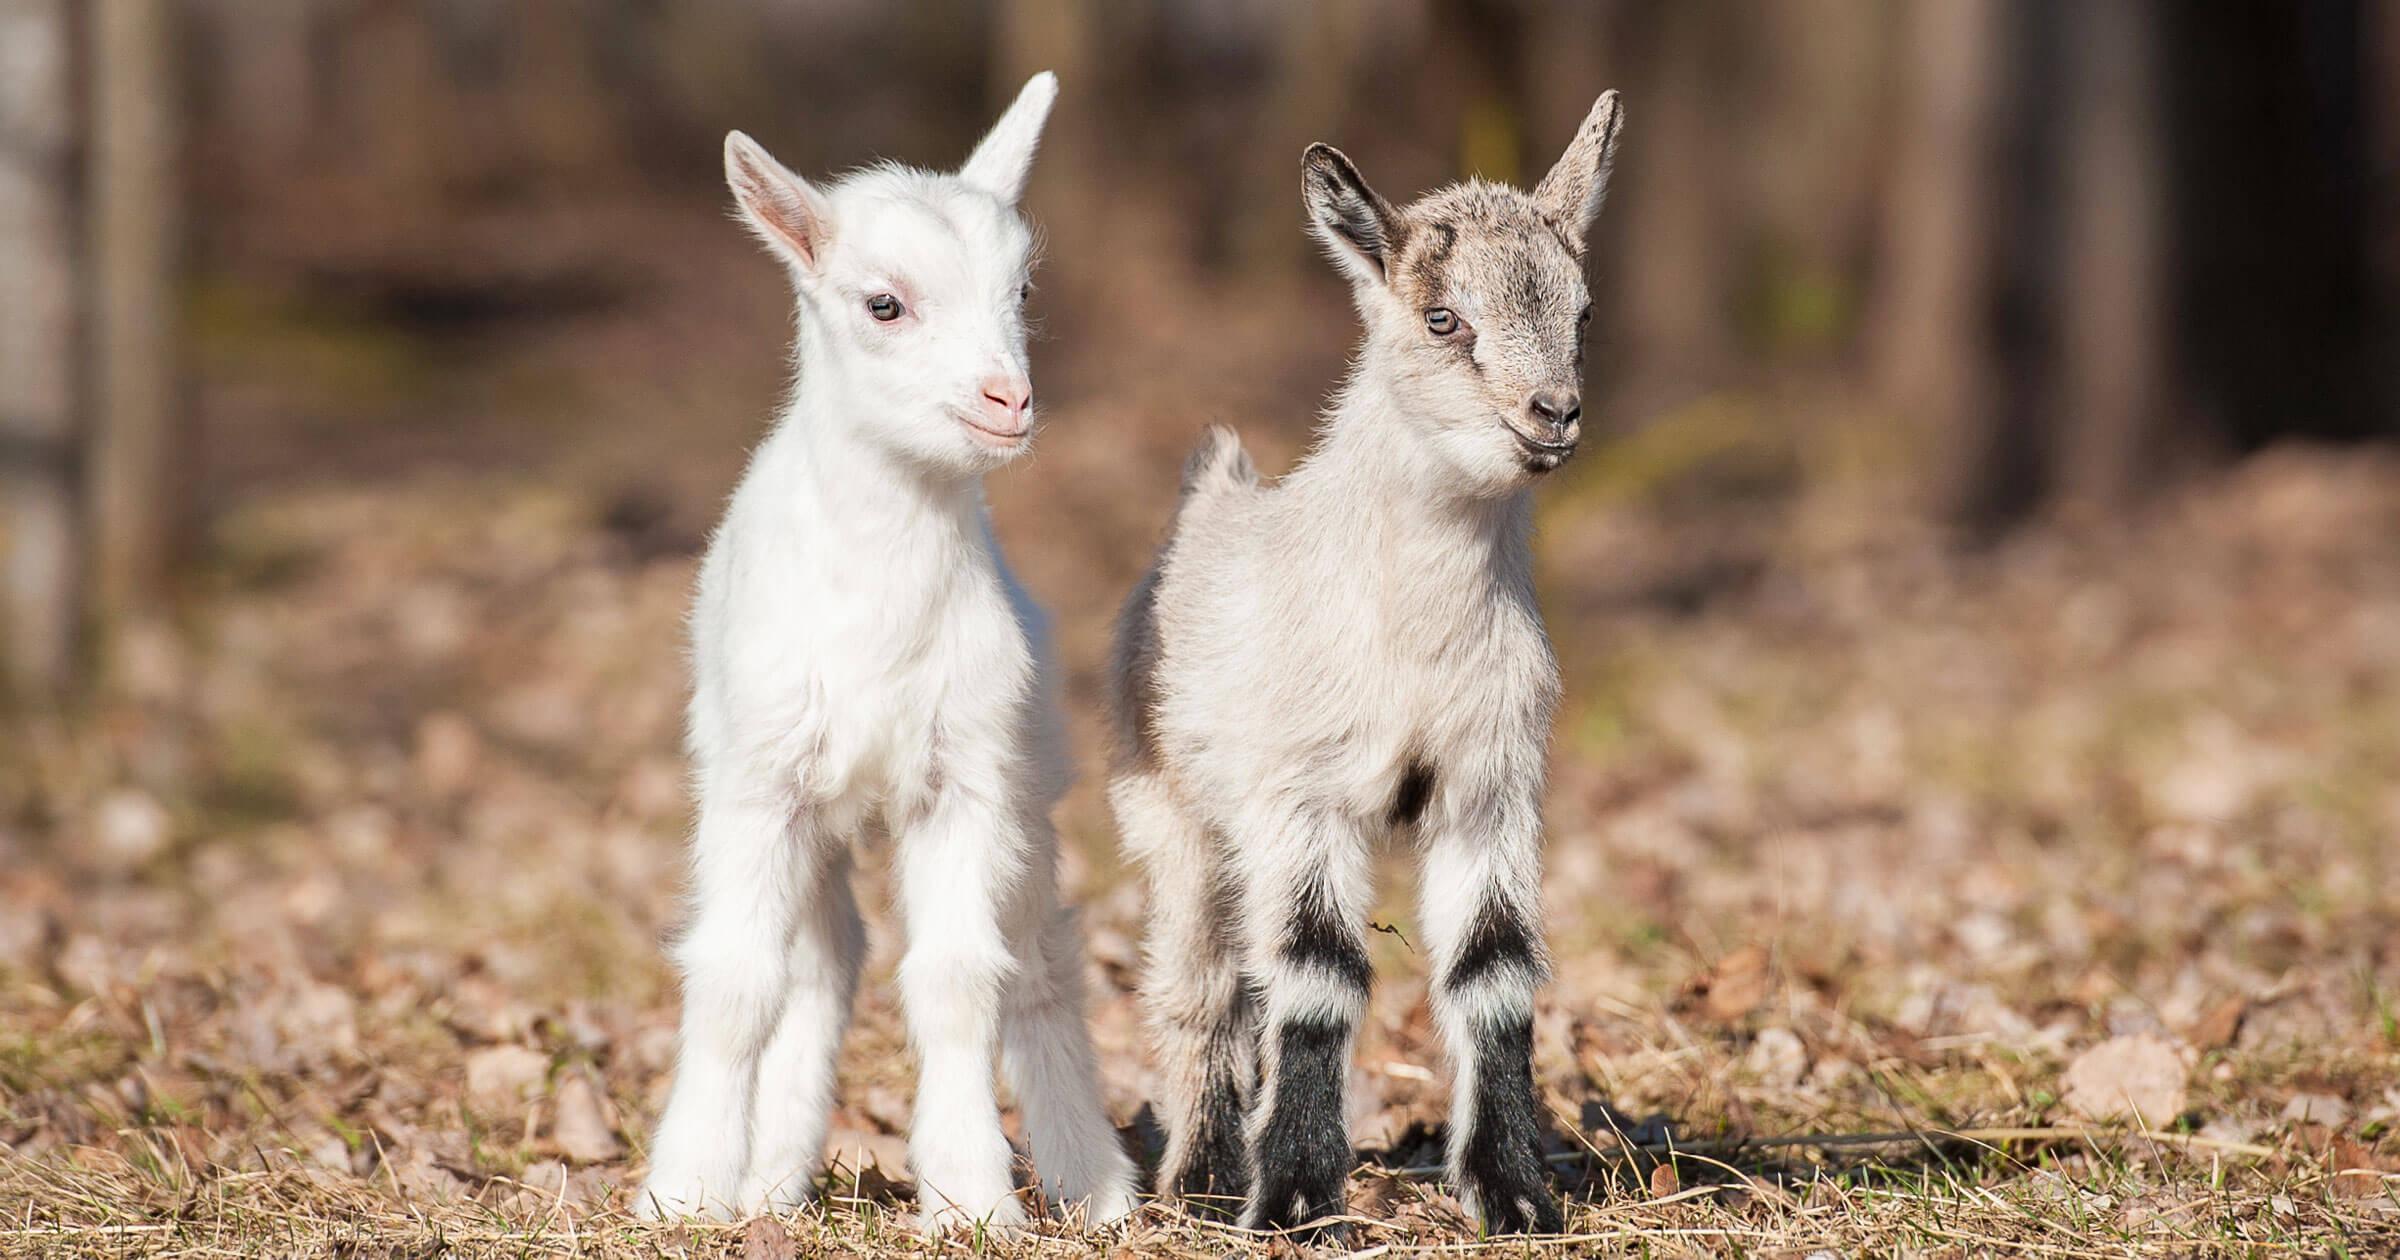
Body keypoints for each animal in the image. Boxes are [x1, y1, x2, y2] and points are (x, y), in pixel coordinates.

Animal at [638, 73, 1138, 1232]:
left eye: (1024, 290)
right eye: (883, 304)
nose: (1009, 399)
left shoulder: (967, 778)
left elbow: (958, 980)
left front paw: (972, 1199)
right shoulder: (758, 780)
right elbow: (736, 980)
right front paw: (685, 1189)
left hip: (1029, 781)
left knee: (1041, 959)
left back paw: (1094, 1183)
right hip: (812, 802)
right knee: (824, 962)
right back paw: (772, 1180)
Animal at [1108, 91, 1627, 1235]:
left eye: (1581, 314)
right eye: (1443, 319)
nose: (1554, 414)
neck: (1411, 643)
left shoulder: (1490, 783)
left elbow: (1493, 972)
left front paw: (1514, 1193)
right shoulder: (1298, 791)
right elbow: (1317, 975)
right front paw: (1297, 1196)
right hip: (1175, 809)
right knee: (1203, 983)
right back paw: (1203, 1177)